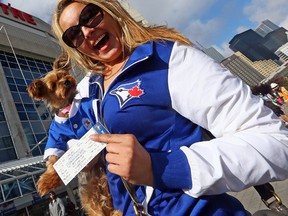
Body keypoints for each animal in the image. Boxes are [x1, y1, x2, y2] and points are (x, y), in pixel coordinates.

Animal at [26, 53, 121, 215]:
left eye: (63, 75)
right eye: (53, 85)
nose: (66, 81)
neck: (67, 108)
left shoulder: (92, 110)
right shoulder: (55, 138)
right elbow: (53, 160)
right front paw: (47, 182)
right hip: (89, 197)